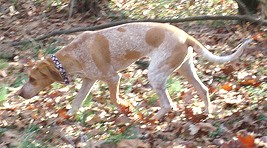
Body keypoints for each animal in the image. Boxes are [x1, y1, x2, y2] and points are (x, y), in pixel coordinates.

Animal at [17, 22, 253, 120]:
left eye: (32, 78)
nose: (19, 93)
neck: (76, 53)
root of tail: (185, 35)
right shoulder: (88, 81)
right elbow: (76, 104)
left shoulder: (113, 77)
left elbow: (114, 99)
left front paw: (127, 107)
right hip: (185, 69)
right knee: (203, 90)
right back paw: (207, 113)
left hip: (155, 73)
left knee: (169, 104)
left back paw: (151, 118)